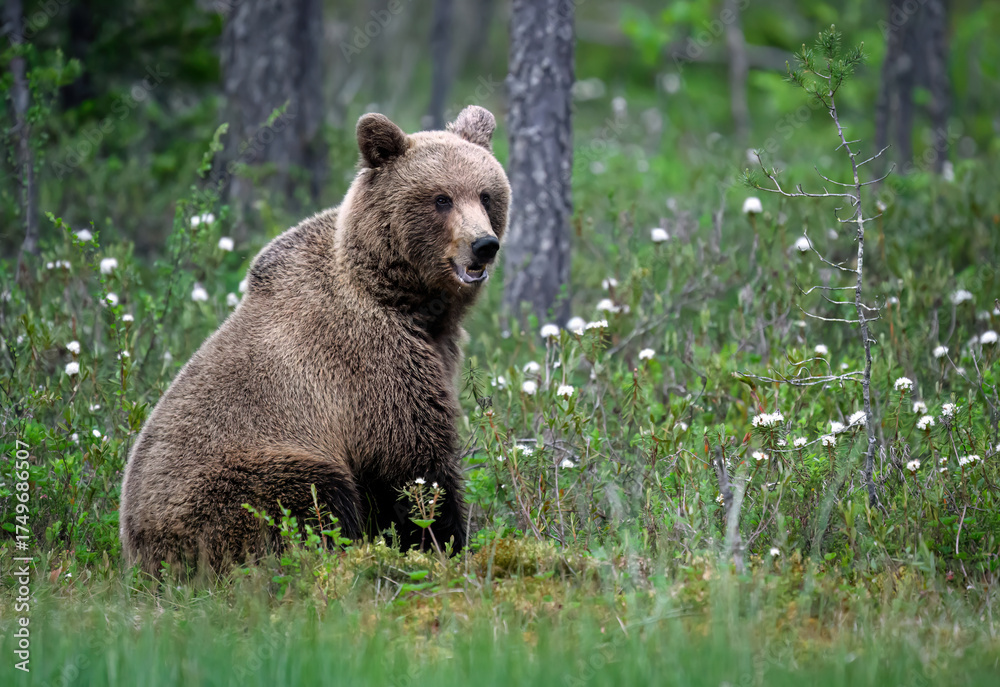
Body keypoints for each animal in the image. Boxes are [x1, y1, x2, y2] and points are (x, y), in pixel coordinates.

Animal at [119, 105, 510, 575]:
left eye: (486, 195)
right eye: (441, 198)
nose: (484, 245)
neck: (406, 299)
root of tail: (138, 554)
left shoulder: (435, 347)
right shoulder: (368, 362)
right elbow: (413, 461)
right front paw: (444, 540)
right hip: (237, 483)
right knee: (313, 495)